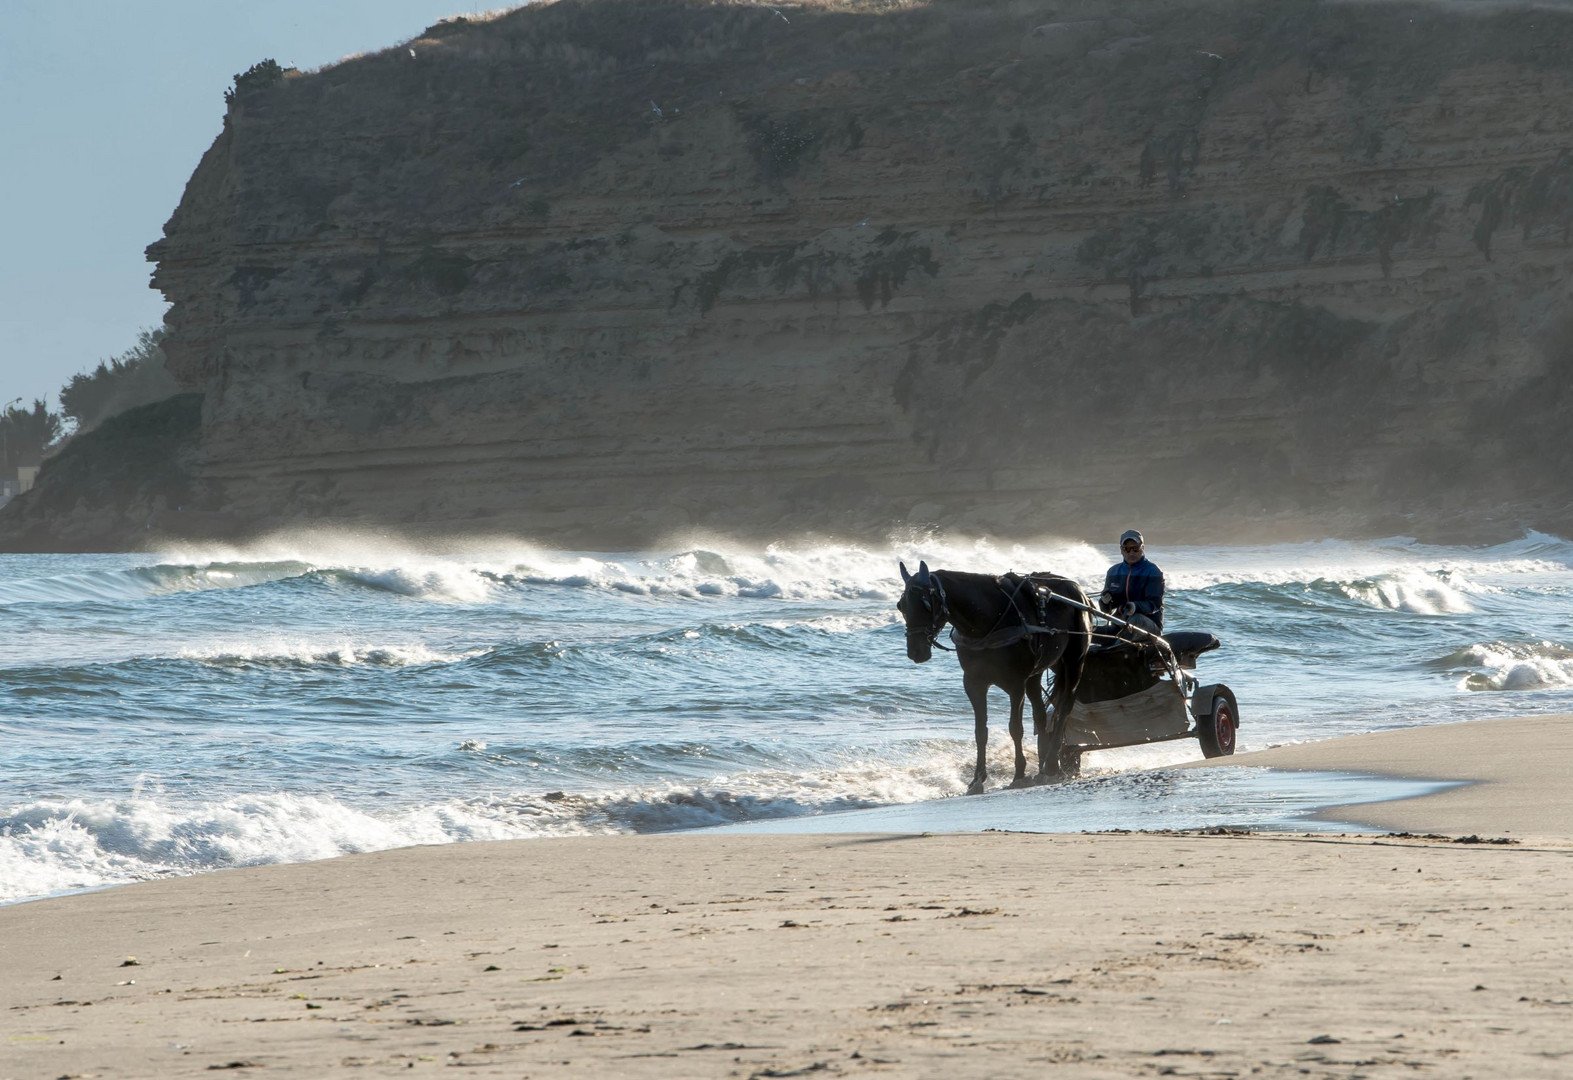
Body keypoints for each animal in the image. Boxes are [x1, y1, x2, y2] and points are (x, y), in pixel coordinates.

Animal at [899, 565, 1094, 795]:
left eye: (926, 604)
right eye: (901, 606)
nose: (915, 651)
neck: (987, 620)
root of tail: (1079, 592)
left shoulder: (1016, 684)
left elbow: (1015, 728)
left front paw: (1019, 774)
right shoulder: (974, 683)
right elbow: (980, 731)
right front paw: (977, 779)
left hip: (1074, 661)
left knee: (1064, 708)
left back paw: (1051, 763)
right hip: (1038, 671)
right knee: (1040, 714)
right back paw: (1042, 765)